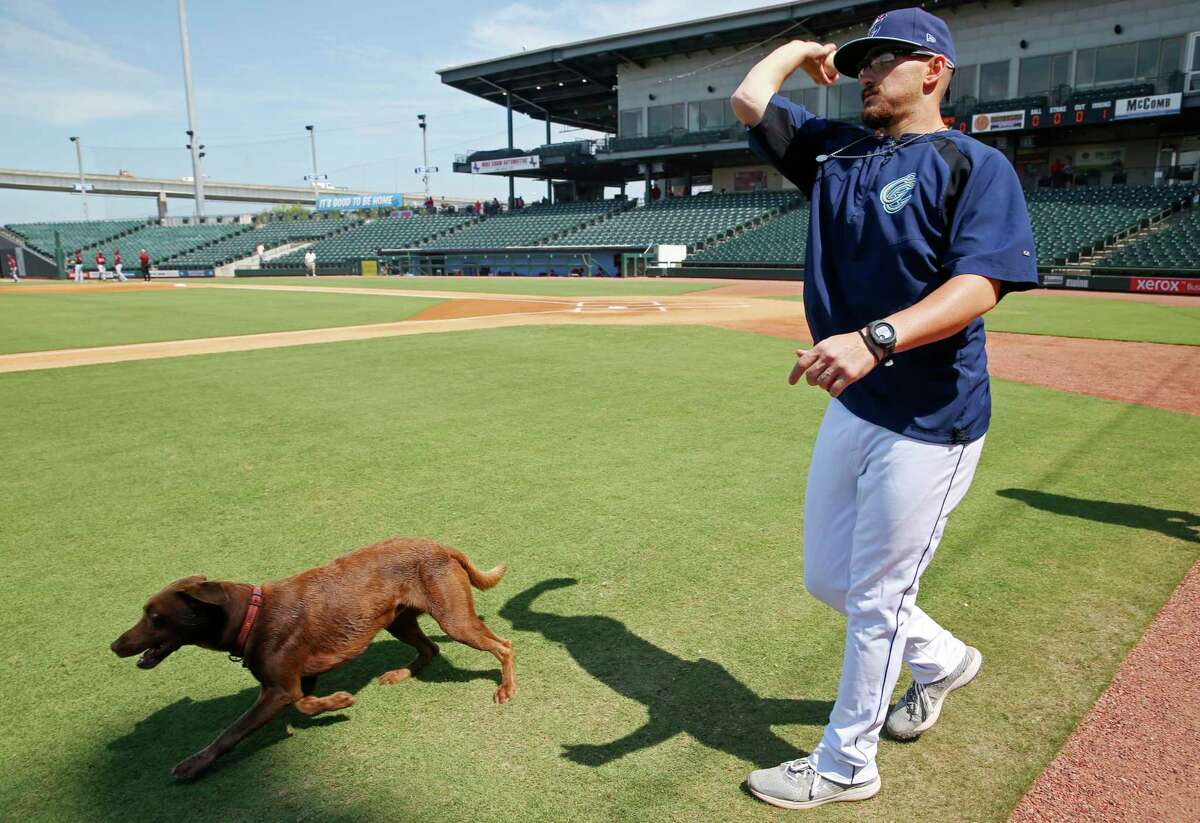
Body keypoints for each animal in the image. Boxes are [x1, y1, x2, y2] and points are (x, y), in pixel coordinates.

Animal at [106, 537, 511, 782]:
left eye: (155, 617)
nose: (114, 644)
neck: (253, 617)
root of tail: (442, 546)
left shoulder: (279, 688)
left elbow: (236, 730)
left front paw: (193, 764)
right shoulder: (300, 677)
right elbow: (303, 700)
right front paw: (331, 702)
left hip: (454, 620)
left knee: (503, 645)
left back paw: (505, 689)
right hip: (399, 620)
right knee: (430, 649)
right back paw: (399, 673)